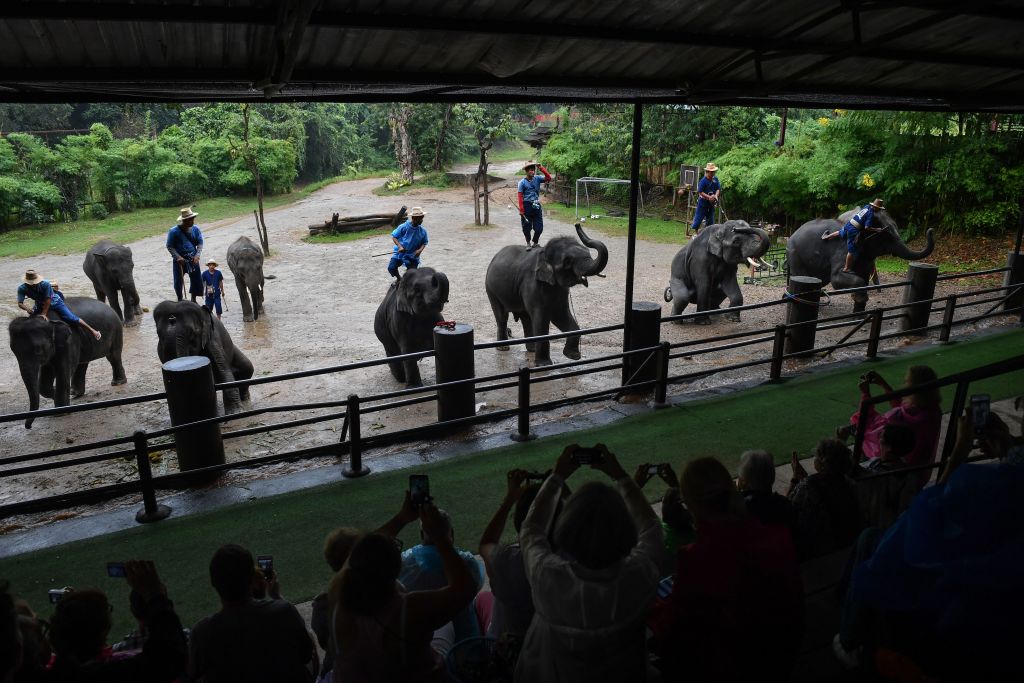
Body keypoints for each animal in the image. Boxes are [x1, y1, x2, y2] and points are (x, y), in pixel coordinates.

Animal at [8, 296, 126, 428]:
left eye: (38, 350)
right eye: (13, 351)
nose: (28, 426)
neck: (48, 321)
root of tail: (110, 308)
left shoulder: (69, 341)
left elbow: (63, 370)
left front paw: (60, 411)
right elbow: (46, 375)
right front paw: (56, 395)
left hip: (116, 332)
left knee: (113, 357)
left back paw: (117, 383)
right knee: (82, 363)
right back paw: (74, 392)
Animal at [487, 224, 606, 366]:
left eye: (588, 252)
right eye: (567, 261)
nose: (577, 224)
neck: (544, 253)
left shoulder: (560, 289)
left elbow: (561, 314)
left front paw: (573, 356)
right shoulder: (533, 284)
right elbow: (542, 318)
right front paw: (544, 364)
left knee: (526, 318)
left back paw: (531, 349)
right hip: (491, 290)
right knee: (502, 316)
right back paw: (503, 348)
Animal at [782, 204, 937, 309]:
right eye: (888, 235)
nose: (931, 229)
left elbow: (863, 276)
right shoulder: (844, 249)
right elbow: (837, 279)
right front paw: (860, 298)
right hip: (795, 255)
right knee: (803, 276)